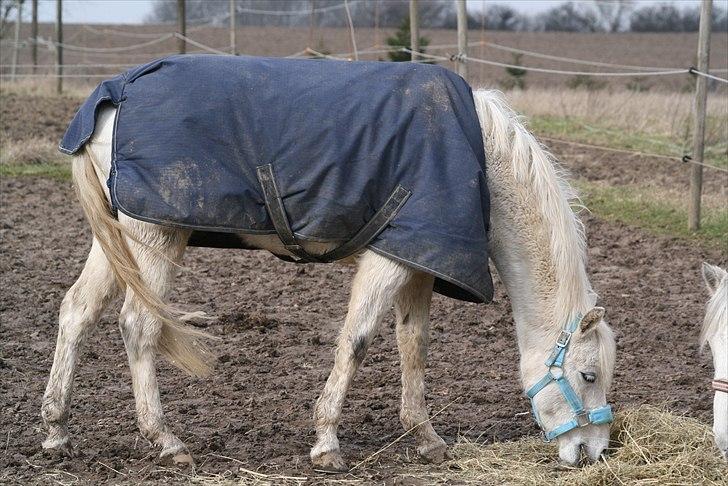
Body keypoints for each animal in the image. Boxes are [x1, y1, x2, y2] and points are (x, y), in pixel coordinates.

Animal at [41, 86, 616, 469]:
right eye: (588, 375)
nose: (590, 452)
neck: (477, 158)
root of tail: (111, 99)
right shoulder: (388, 261)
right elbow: (356, 341)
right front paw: (326, 443)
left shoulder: (421, 263)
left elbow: (414, 344)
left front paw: (425, 436)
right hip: (154, 238)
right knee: (138, 326)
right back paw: (166, 440)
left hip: (116, 242)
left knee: (77, 311)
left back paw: (55, 431)